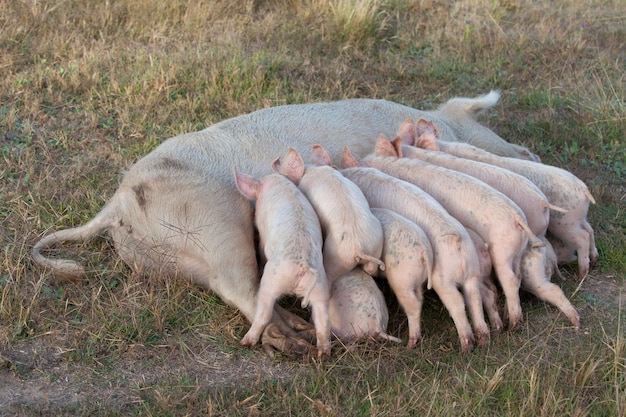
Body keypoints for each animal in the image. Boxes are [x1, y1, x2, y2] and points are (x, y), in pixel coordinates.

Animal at [31, 89, 532, 352]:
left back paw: (298, 334)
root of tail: (118, 204)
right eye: (491, 129)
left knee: (243, 291)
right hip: (214, 219)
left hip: (180, 250)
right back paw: (298, 343)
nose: (528, 152)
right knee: (242, 287)